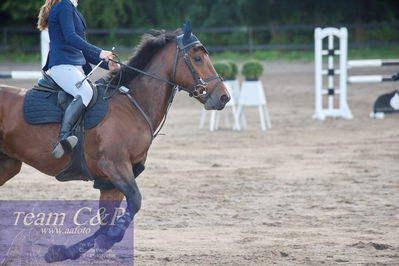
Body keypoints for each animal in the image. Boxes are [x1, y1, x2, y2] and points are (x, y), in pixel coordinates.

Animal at [0, 25, 231, 262]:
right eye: (197, 58)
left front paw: (64, 251)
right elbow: (134, 202)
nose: (224, 97)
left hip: (8, 164)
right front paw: (105, 240)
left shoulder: (110, 181)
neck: (131, 105)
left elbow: (106, 221)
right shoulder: (115, 166)